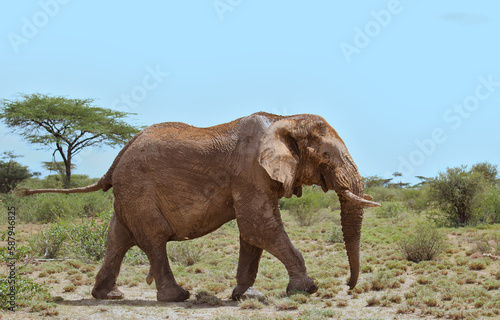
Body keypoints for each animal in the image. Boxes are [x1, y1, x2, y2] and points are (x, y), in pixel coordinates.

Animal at [18, 113, 378, 302]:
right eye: (327, 156)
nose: (349, 287)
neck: (283, 119)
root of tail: (115, 162)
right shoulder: (250, 173)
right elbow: (258, 226)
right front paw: (306, 290)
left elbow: (253, 234)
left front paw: (243, 295)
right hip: (139, 191)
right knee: (153, 239)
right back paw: (177, 296)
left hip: (127, 196)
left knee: (116, 240)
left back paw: (109, 295)